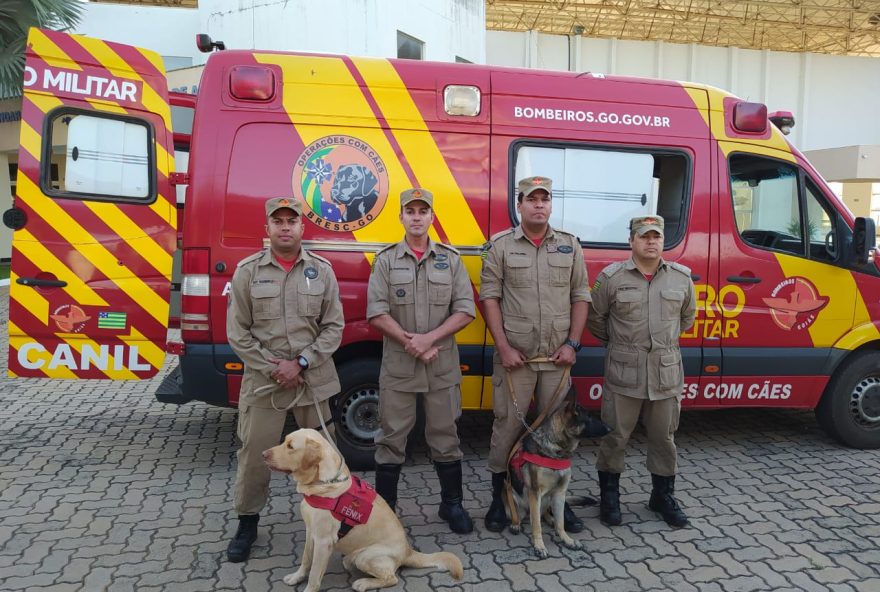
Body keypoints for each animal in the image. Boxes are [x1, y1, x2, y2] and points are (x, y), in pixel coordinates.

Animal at [506, 390, 608, 556]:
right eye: (589, 417)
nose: (610, 428)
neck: (555, 449)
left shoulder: (560, 493)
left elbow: (560, 523)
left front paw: (567, 540)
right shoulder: (534, 492)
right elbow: (536, 525)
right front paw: (539, 546)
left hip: (549, 498)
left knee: (545, 514)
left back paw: (550, 519)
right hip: (512, 495)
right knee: (521, 514)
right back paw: (516, 524)